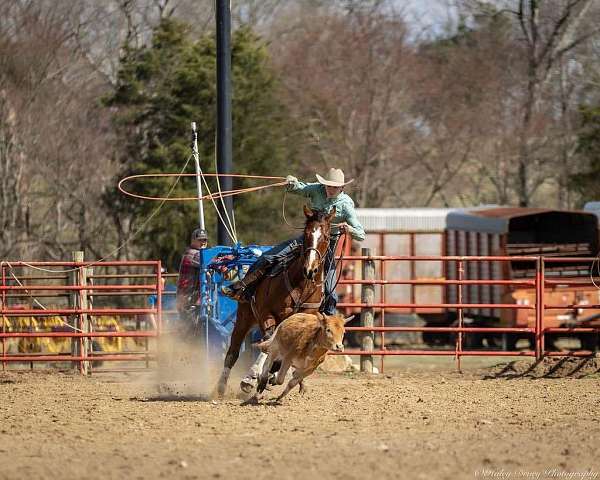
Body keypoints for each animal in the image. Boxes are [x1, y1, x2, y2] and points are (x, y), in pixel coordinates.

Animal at [216, 204, 336, 396]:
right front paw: (253, 377)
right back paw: (224, 386)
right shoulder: (267, 314)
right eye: (306, 234)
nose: (309, 269)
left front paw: (271, 374)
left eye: (325, 236)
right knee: (233, 353)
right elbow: (268, 342)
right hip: (244, 318)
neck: (302, 286)